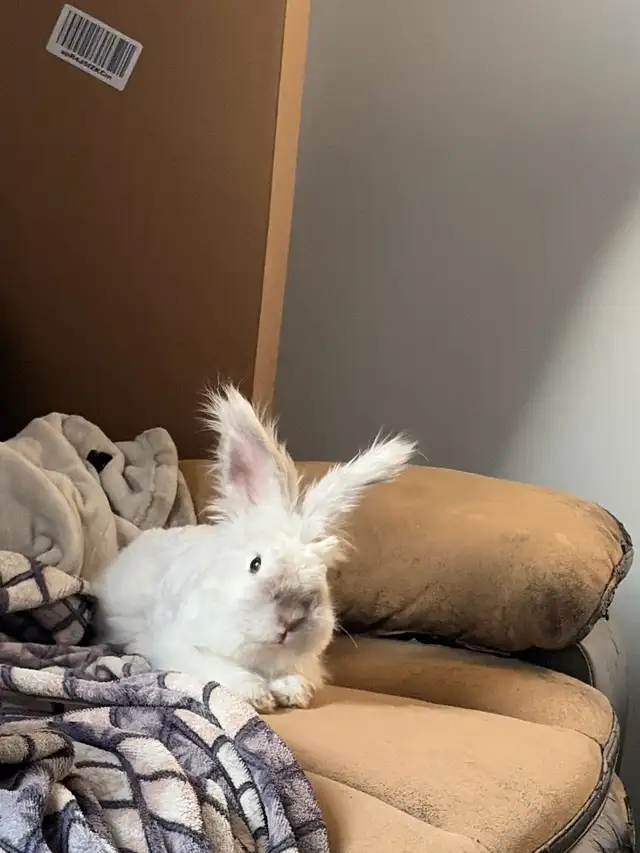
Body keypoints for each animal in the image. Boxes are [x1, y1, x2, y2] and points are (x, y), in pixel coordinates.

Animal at [94, 385, 415, 712]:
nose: (291, 617)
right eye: (255, 564)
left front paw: (293, 692)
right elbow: (224, 670)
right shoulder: (175, 645)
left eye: (322, 573)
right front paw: (257, 695)